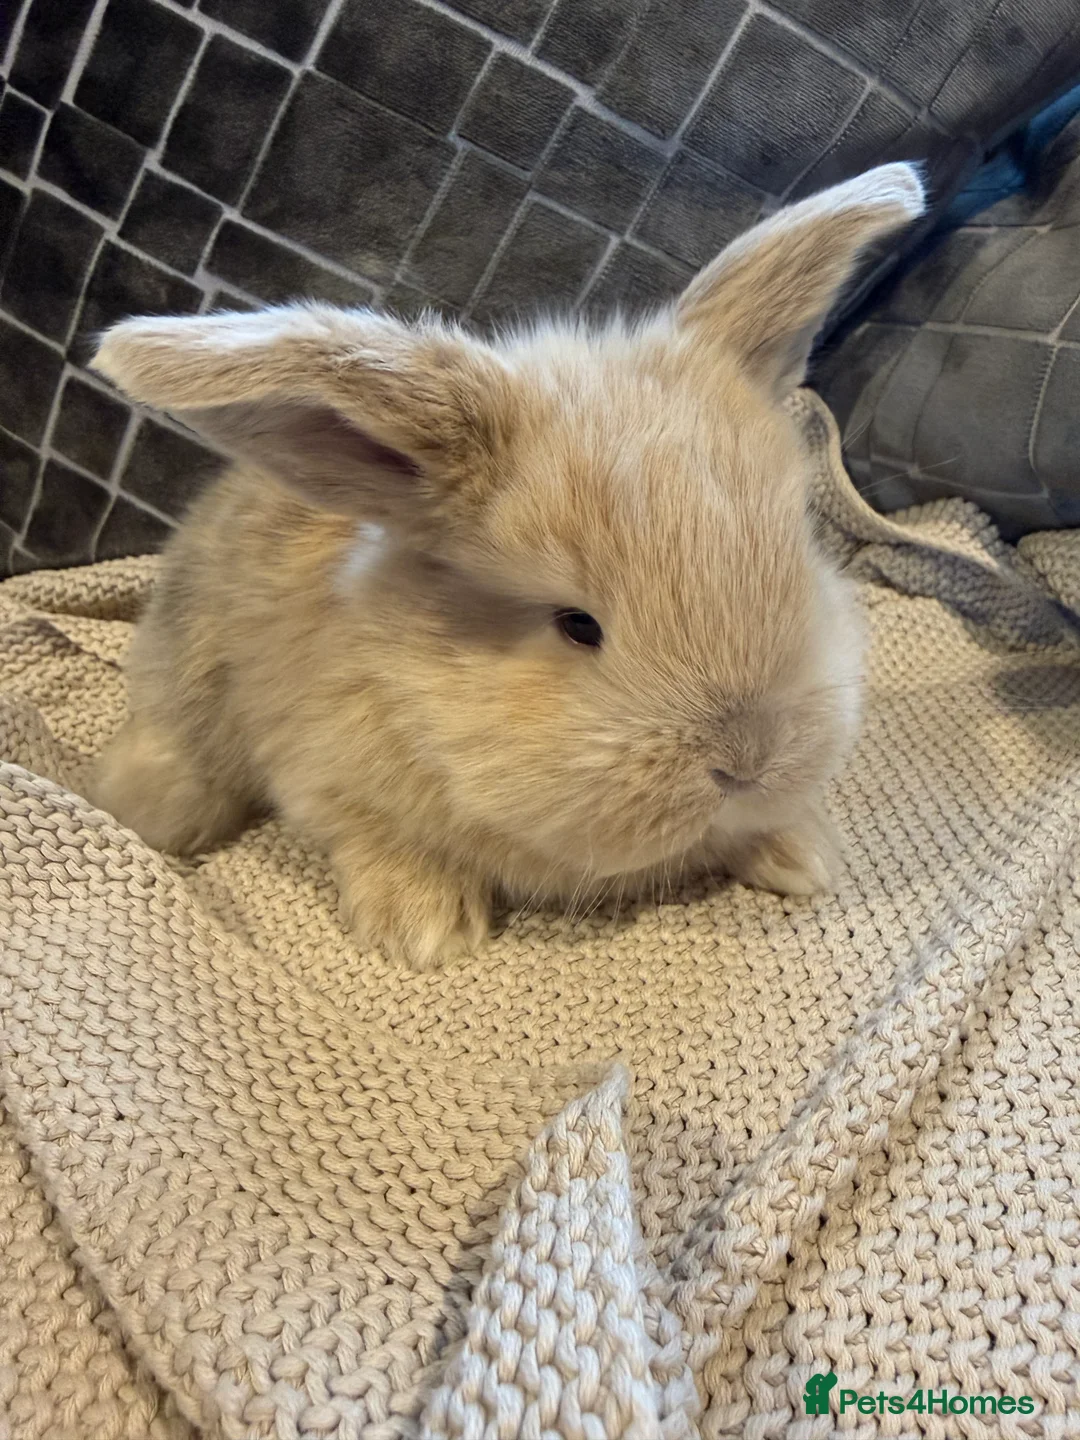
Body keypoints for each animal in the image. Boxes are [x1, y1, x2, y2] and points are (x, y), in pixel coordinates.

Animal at [90, 163, 925, 969]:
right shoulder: (323, 775)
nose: (746, 764)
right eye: (577, 625)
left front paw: (804, 855)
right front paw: (423, 928)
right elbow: (373, 835)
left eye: (797, 563)